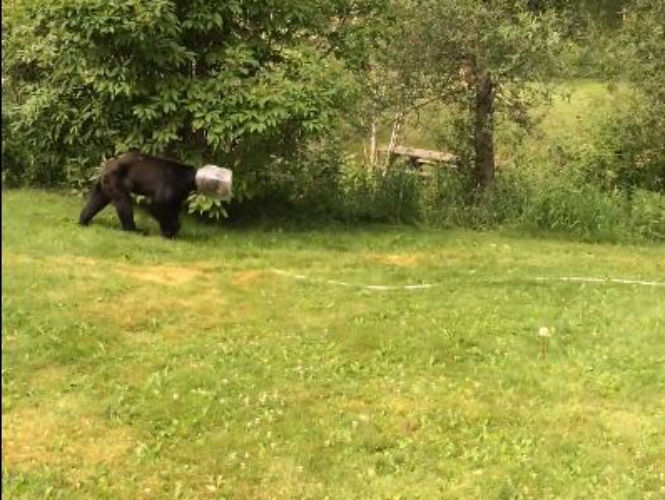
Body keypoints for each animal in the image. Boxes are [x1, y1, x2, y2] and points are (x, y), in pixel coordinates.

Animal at [80, 150, 232, 238]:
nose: (229, 189)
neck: (190, 177)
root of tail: (107, 165)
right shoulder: (173, 184)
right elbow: (158, 205)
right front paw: (170, 230)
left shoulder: (179, 194)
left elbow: (173, 208)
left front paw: (171, 230)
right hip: (116, 180)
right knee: (124, 204)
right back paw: (134, 230)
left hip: (105, 185)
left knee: (95, 202)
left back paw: (83, 221)